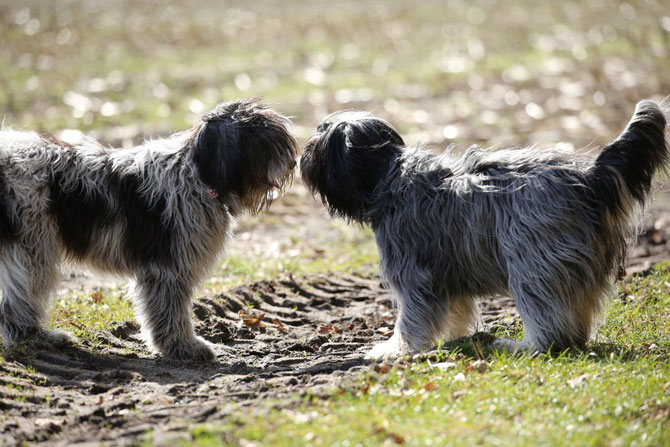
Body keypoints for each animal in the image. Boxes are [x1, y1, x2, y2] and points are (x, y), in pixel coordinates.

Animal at [0, 97, 300, 360]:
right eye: (264, 138)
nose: (293, 163)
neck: (197, 175)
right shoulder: (168, 267)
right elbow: (171, 310)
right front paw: (182, 346)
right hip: (33, 247)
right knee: (18, 301)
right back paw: (36, 338)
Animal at [302, 100, 668, 358]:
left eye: (320, 136)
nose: (304, 149)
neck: (389, 176)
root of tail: (590, 177)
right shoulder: (446, 272)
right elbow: (455, 310)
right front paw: (455, 337)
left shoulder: (414, 269)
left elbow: (413, 317)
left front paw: (396, 349)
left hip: (535, 258)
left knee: (550, 320)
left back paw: (523, 346)